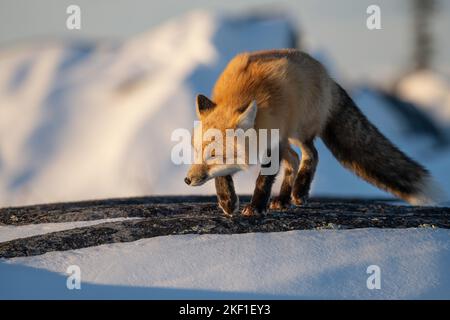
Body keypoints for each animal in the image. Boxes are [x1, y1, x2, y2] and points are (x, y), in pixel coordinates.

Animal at [185, 48, 442, 218]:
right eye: (197, 152)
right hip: (288, 139)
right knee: (294, 159)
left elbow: (264, 179)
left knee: (310, 155)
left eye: (213, 155)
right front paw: (228, 201)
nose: (187, 180)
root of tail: (327, 76)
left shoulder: (273, 143)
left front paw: (256, 206)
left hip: (298, 132)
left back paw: (299, 191)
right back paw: (283, 199)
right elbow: (223, 176)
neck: (241, 94)